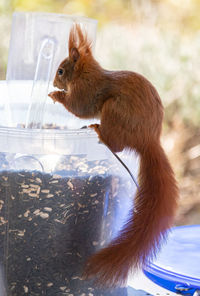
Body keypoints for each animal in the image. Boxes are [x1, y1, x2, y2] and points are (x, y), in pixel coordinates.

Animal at [48, 24, 178, 288]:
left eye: (61, 71)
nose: (54, 80)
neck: (86, 73)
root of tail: (148, 140)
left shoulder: (86, 91)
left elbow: (80, 108)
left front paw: (56, 95)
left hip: (113, 111)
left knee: (117, 146)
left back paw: (99, 131)